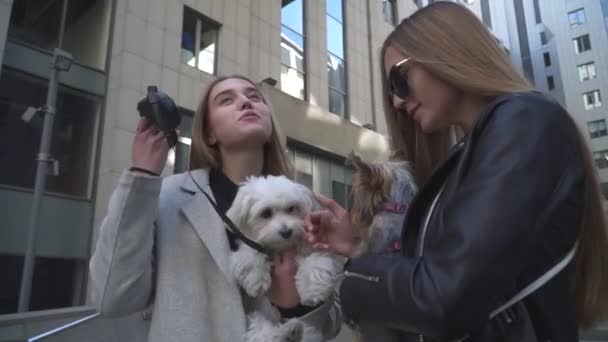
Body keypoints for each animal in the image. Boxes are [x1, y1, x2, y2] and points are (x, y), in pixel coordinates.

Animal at [227, 176, 342, 342]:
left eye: (291, 208)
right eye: (266, 213)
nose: (286, 231)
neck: (282, 247)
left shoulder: (313, 248)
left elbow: (316, 263)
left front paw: (312, 291)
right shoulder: (248, 245)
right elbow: (249, 255)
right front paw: (256, 279)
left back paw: (293, 331)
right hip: (258, 318)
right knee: (262, 331)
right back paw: (288, 332)